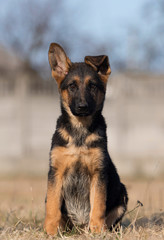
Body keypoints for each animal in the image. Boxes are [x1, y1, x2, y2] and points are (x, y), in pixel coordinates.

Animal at [44, 42, 128, 234]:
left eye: (92, 86)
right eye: (72, 86)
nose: (82, 107)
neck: (79, 132)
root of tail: (79, 227)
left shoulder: (98, 173)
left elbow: (97, 206)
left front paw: (97, 231)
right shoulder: (55, 172)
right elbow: (52, 206)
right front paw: (50, 231)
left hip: (122, 195)